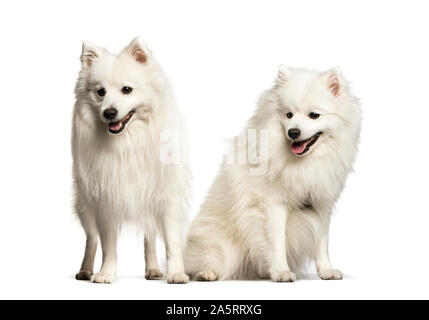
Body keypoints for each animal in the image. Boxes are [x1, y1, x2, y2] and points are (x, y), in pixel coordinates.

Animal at [72, 36, 189, 284]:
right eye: (100, 92)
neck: (128, 142)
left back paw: (153, 269)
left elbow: (172, 242)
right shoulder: (106, 199)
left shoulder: (166, 196)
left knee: (150, 236)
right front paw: (106, 273)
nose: (109, 113)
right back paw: (85, 270)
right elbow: (108, 245)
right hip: (85, 202)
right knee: (91, 239)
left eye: (127, 90)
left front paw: (176, 273)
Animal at [185, 66, 362, 282]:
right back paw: (207, 273)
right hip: (222, 247)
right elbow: (277, 243)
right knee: (205, 263)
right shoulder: (273, 205)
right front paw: (281, 272)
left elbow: (321, 244)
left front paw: (326, 270)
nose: (293, 132)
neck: (304, 163)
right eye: (288, 115)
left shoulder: (321, 205)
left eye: (314, 115)